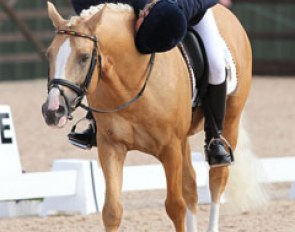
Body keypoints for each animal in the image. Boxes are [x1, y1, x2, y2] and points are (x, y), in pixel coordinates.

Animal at [42, 2, 252, 232]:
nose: (53, 111)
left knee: (217, 179)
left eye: (84, 57)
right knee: (191, 186)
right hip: (183, 140)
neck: (131, 82)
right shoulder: (111, 146)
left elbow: (175, 207)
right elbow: (112, 211)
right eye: (49, 55)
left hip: (229, 122)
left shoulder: (170, 148)